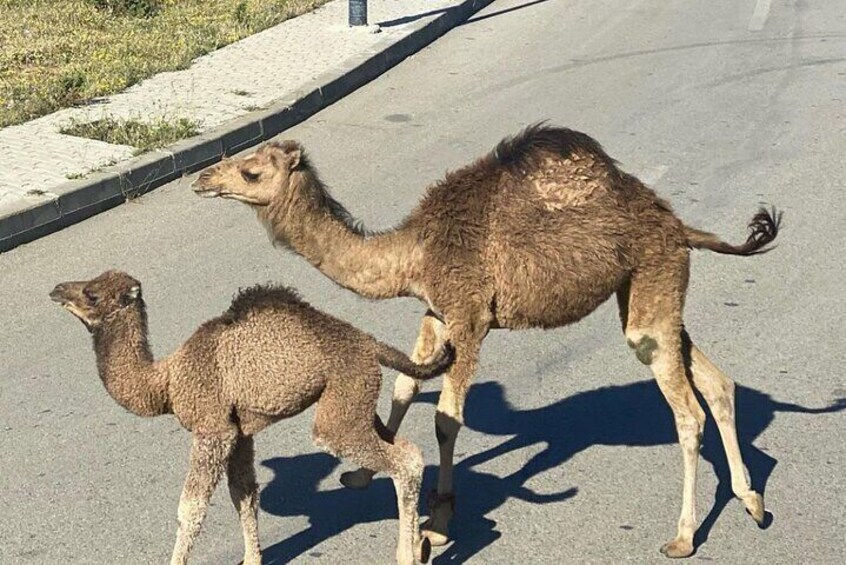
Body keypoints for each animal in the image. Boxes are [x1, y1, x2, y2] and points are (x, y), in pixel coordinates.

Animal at [48, 270, 454, 564]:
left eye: (92, 295)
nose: (56, 289)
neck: (166, 381)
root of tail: (371, 344)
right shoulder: (239, 433)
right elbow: (243, 494)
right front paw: (252, 559)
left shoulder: (212, 428)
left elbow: (190, 507)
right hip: (356, 400)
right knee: (408, 450)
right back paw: (417, 542)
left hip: (342, 401)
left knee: (398, 459)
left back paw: (409, 555)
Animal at [192, 123, 780, 556]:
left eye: (250, 169)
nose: (202, 178)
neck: (414, 252)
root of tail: (678, 224)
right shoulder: (435, 312)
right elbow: (405, 385)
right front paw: (359, 474)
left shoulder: (469, 315)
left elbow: (446, 420)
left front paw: (438, 522)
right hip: (647, 287)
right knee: (716, 382)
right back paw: (752, 501)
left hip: (652, 282)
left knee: (686, 410)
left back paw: (682, 537)